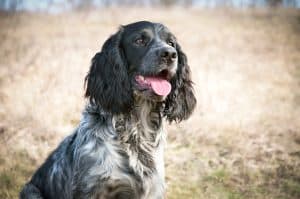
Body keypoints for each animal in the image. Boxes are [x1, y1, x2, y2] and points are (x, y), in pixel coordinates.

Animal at [19, 21, 197, 198]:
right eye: (139, 41)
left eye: (171, 43)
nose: (170, 54)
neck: (136, 129)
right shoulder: (91, 190)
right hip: (30, 190)